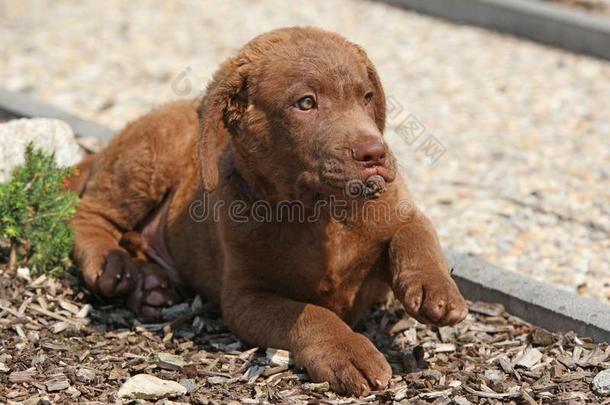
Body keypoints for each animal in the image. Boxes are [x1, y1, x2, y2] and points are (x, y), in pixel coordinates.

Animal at [73, 27, 468, 394]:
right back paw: (112, 265)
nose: (375, 153)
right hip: (150, 155)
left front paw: (436, 290)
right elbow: (311, 315)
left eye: (367, 97)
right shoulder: (246, 299)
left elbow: (415, 232)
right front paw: (349, 352)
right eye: (306, 103)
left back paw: (149, 288)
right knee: (92, 213)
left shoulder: (395, 211)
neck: (320, 214)